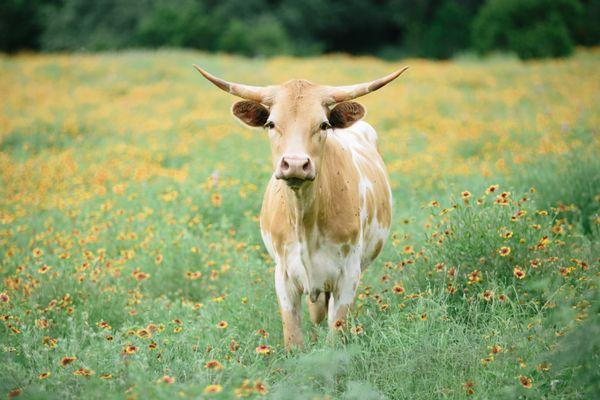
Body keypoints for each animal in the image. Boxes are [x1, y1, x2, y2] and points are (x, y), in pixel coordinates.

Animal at [196, 64, 408, 348]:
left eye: (324, 124)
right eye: (271, 123)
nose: (295, 164)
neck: (304, 219)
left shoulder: (349, 275)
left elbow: (336, 333)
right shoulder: (283, 276)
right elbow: (293, 336)